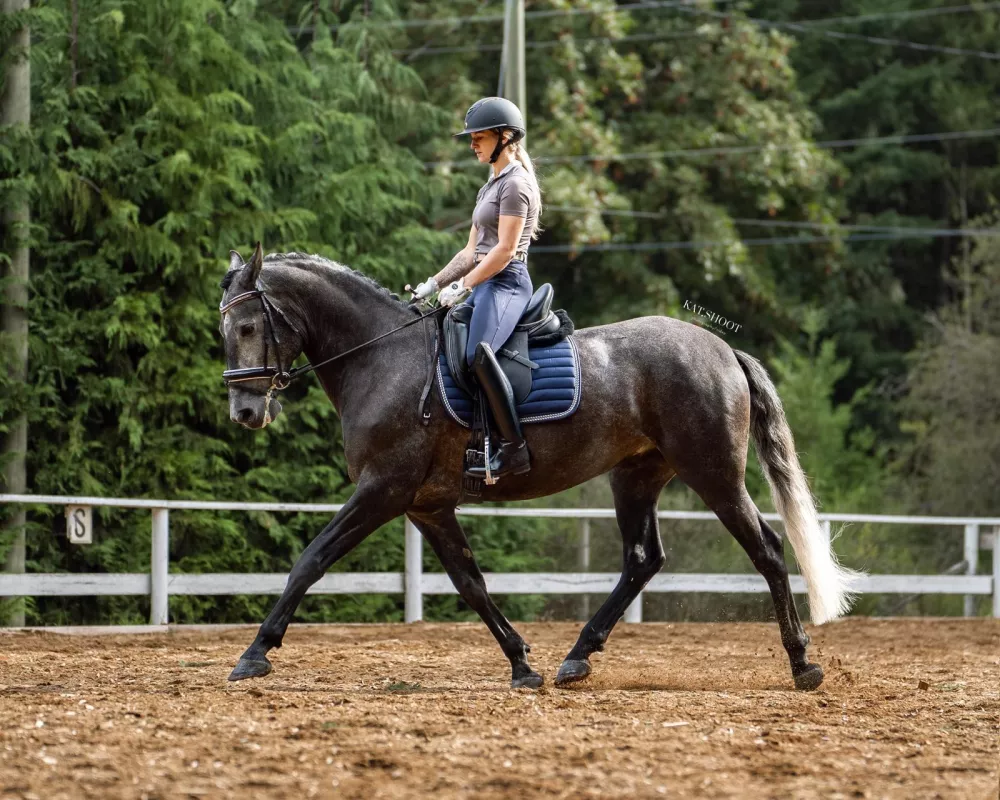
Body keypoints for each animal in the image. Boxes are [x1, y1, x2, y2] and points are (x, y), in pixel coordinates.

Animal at [221, 247, 860, 692]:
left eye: (248, 328)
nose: (246, 413)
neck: (381, 359)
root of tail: (723, 349)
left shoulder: (383, 491)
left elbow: (311, 560)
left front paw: (254, 653)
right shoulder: (428, 505)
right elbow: (471, 584)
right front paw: (521, 663)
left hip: (714, 475)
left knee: (767, 551)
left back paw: (803, 663)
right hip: (636, 476)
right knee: (642, 560)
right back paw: (576, 658)